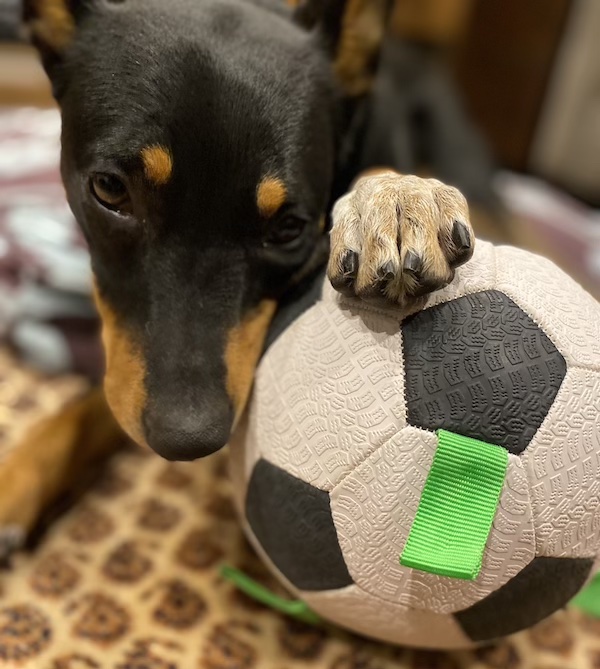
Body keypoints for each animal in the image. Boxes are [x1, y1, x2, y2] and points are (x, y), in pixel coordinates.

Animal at [0, 0, 476, 556]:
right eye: (110, 189)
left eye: (289, 228)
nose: (187, 440)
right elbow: (94, 402)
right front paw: (19, 478)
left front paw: (397, 199)